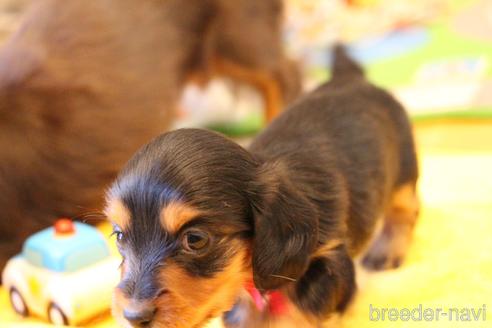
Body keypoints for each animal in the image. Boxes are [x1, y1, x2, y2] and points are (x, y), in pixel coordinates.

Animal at [104, 46, 418, 328]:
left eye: (195, 239)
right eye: (119, 236)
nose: (133, 316)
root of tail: (352, 80)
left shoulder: (330, 259)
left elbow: (300, 309)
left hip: (403, 172)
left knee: (406, 209)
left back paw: (386, 251)